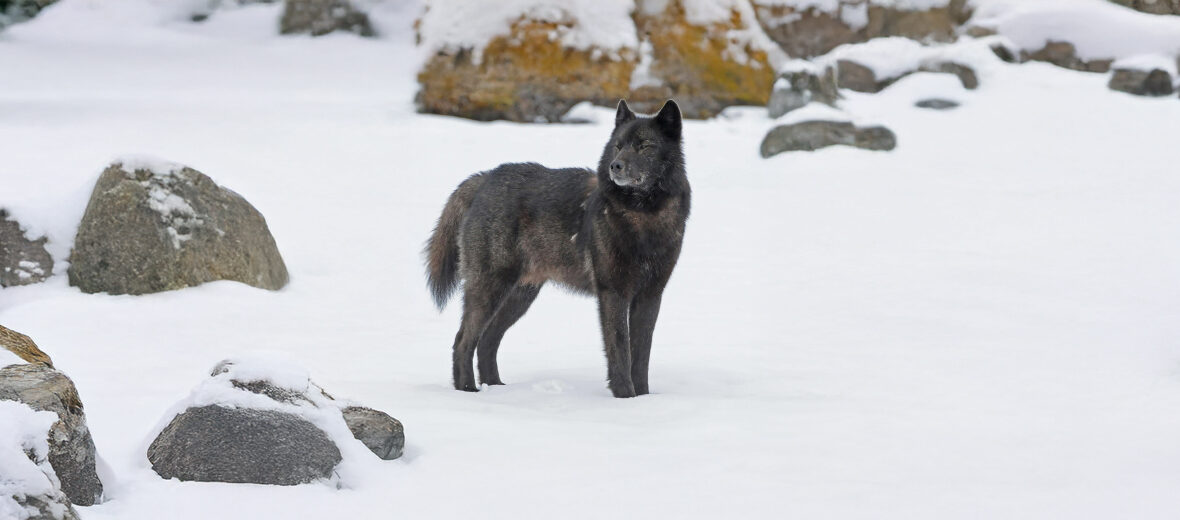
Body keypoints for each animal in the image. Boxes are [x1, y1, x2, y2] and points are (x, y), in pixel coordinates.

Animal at [425, 99, 690, 398]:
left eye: (645, 146)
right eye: (618, 146)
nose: (616, 166)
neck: (643, 217)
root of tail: (485, 178)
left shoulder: (650, 295)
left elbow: (641, 355)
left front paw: (643, 398)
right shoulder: (613, 293)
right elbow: (620, 350)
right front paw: (624, 397)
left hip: (520, 295)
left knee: (487, 340)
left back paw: (497, 388)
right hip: (490, 288)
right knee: (463, 340)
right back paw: (468, 391)